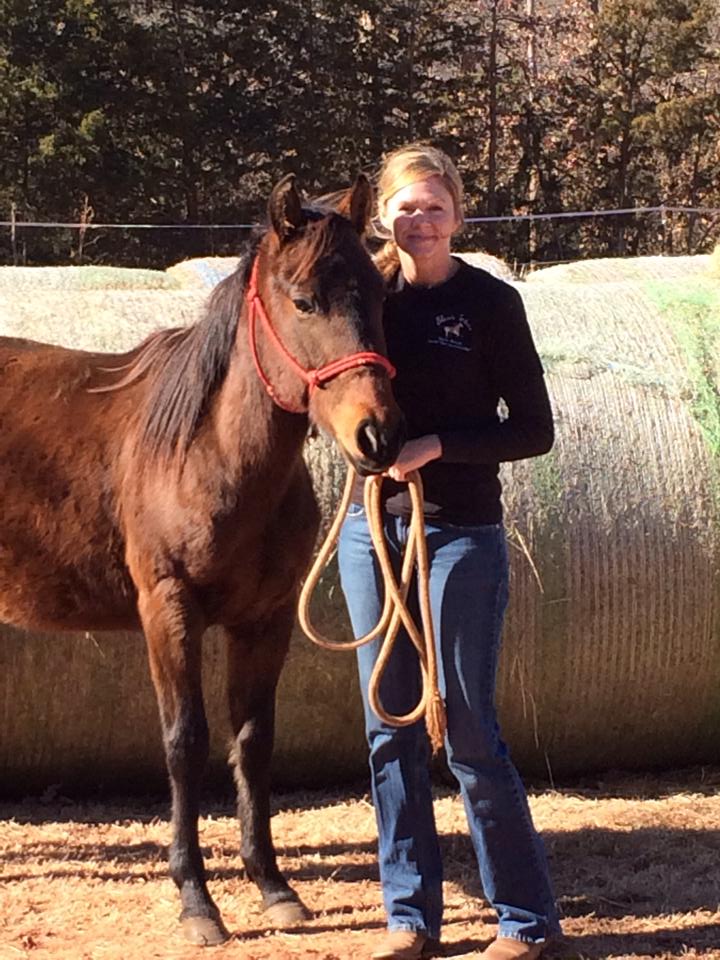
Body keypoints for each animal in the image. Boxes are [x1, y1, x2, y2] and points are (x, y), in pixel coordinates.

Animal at [0, 174, 404, 944]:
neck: (205, 453)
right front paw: (196, 899)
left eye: (378, 293)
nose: (379, 435)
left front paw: (272, 885)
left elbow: (252, 742)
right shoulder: (168, 609)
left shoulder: (265, 621)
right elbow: (185, 743)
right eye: (304, 300)